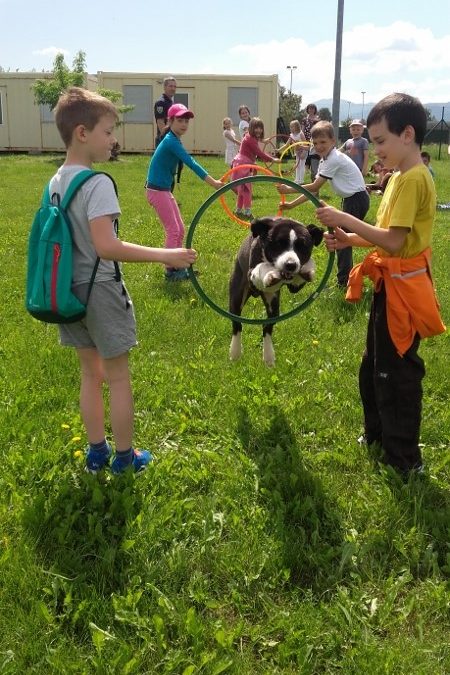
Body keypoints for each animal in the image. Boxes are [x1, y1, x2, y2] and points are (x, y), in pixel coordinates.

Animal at [229, 217, 324, 368]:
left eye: (303, 246)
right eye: (278, 244)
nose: (291, 264)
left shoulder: (294, 287)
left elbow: (301, 275)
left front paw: (307, 268)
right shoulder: (252, 275)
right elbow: (261, 268)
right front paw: (269, 274)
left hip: (273, 306)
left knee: (267, 327)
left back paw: (268, 356)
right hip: (237, 297)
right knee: (237, 324)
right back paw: (235, 352)